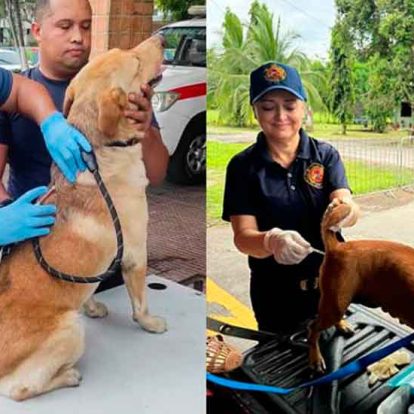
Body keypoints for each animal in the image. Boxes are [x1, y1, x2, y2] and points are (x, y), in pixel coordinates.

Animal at [0, 35, 165, 402]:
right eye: (135, 60)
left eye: (125, 51)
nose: (162, 37)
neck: (100, 150)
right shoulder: (135, 254)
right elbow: (141, 303)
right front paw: (150, 323)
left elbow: (90, 288)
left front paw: (93, 306)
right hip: (70, 331)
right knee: (20, 389)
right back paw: (68, 376)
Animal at [308, 200, 414, 372]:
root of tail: (337, 246)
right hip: (335, 305)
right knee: (312, 328)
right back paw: (315, 358)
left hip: (337, 302)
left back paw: (342, 326)